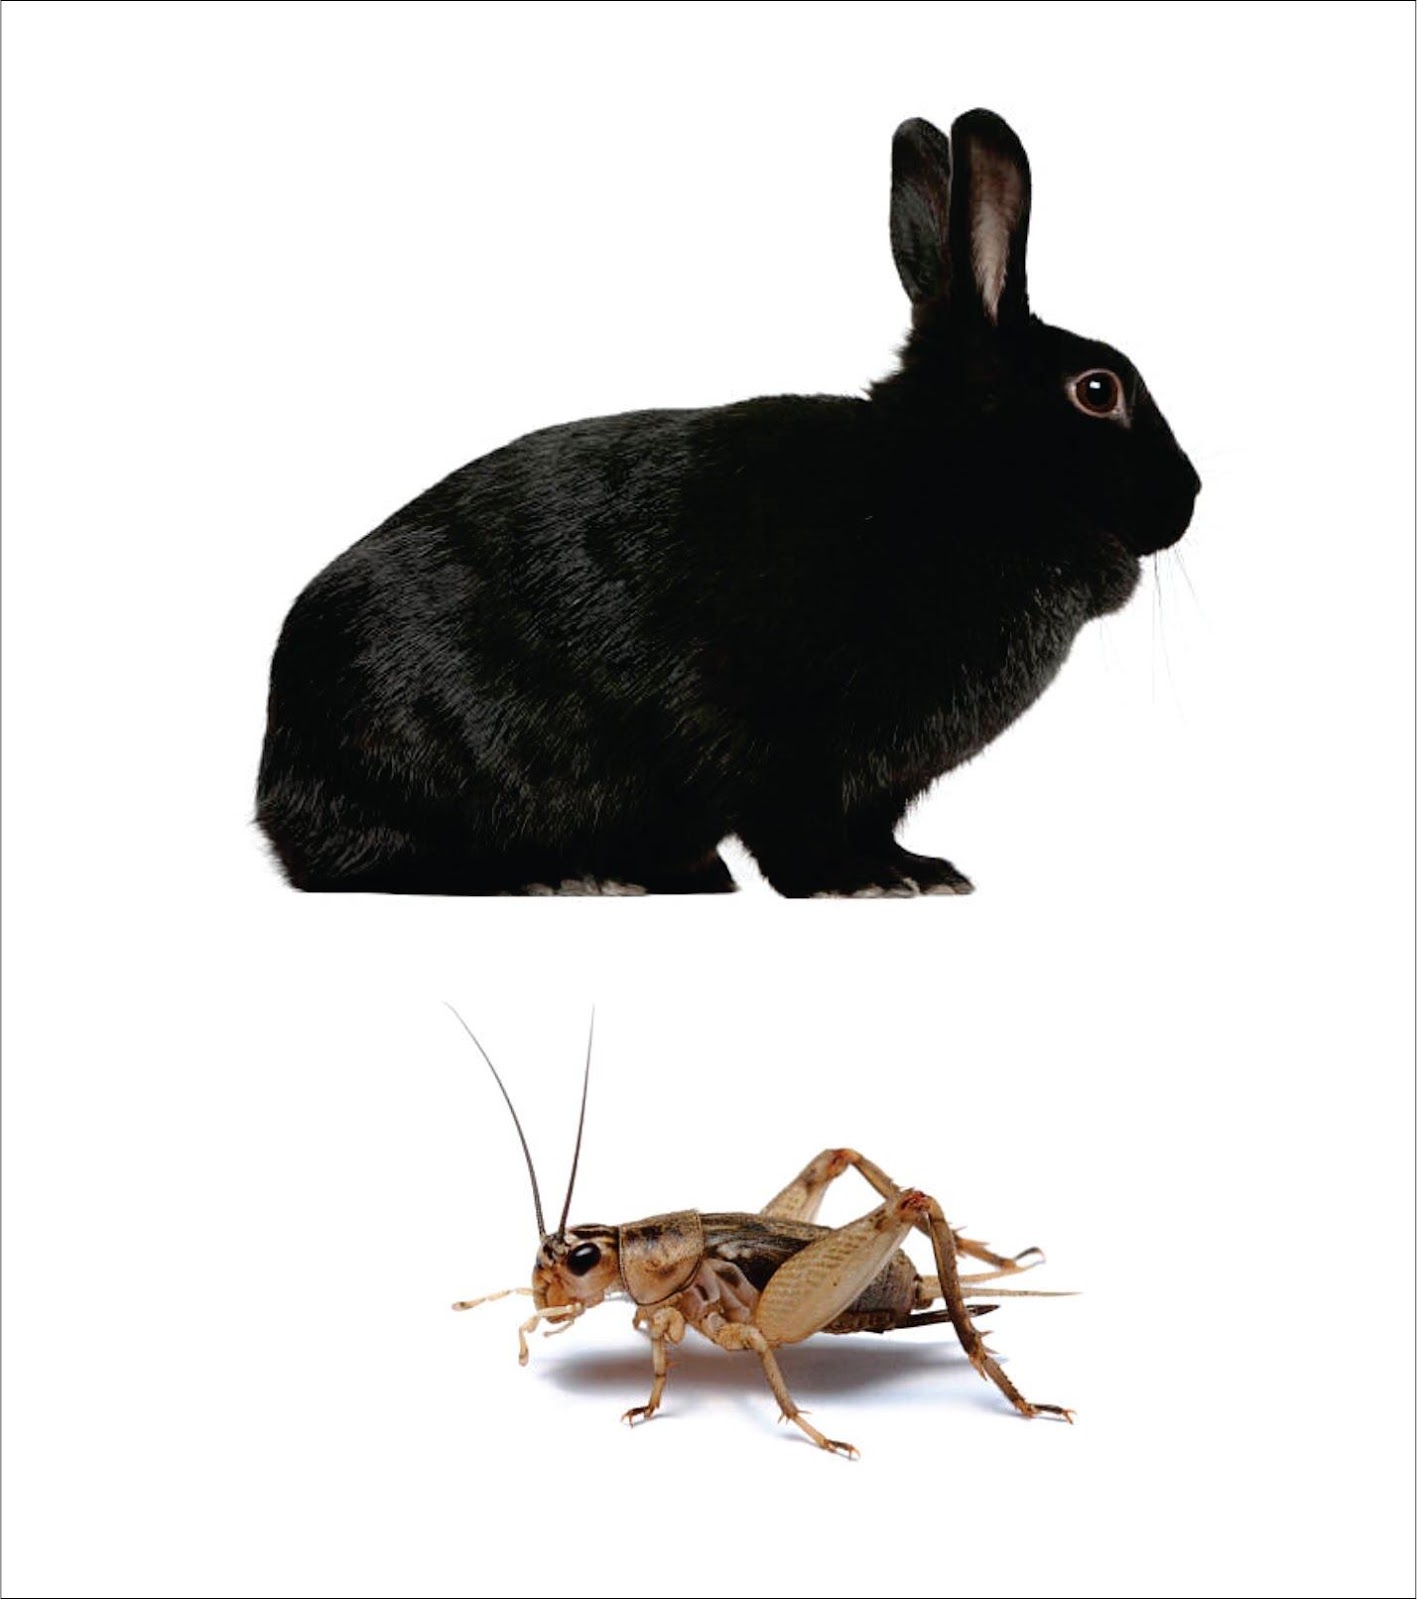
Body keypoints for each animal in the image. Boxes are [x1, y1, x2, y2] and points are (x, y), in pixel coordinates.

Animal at [256, 109, 1199, 898]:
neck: (958, 478)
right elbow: (796, 826)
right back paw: (564, 876)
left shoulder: (877, 781)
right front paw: (863, 884)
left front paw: (918, 871)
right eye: (1097, 389)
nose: (1188, 499)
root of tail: (277, 778)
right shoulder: (779, 740)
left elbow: (870, 821)